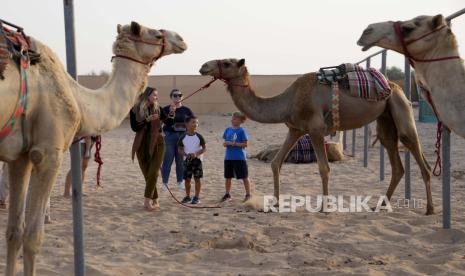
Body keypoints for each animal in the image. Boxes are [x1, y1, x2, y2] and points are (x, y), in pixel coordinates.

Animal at [1, 22, 187, 276]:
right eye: (157, 35)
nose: (181, 39)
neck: (78, 98)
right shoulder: (48, 153)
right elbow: (33, 237)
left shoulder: (20, 158)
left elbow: (14, 233)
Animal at [198, 58, 432, 216]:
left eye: (227, 62)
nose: (203, 66)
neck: (288, 101)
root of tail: (395, 86)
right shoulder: (295, 129)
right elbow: (276, 163)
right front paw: (275, 203)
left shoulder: (316, 129)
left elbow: (323, 168)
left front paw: (324, 208)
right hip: (385, 118)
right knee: (395, 159)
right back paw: (380, 205)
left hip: (400, 106)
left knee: (417, 153)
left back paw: (429, 209)